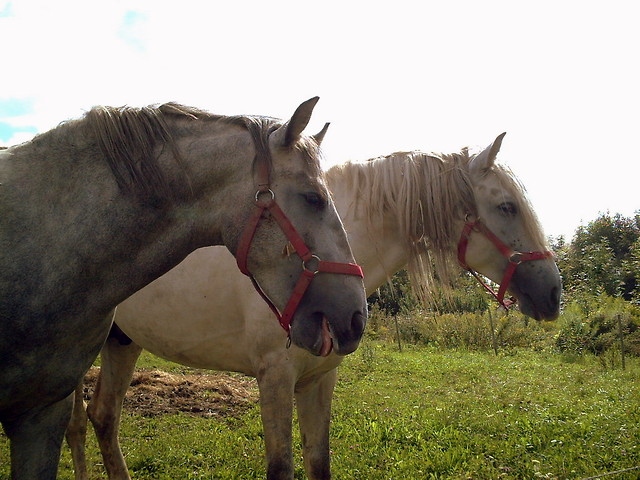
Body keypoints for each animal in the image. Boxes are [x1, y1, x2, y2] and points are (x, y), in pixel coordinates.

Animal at [67, 132, 564, 480]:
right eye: (507, 207)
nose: (554, 294)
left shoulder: (320, 378)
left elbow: (318, 462)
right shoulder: (274, 377)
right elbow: (281, 467)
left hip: (122, 342)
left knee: (101, 418)